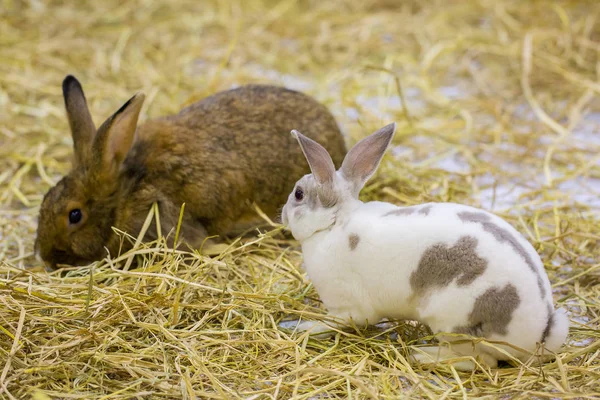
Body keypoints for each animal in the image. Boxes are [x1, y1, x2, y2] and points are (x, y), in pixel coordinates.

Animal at [282, 123, 568, 370]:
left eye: (298, 194)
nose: (282, 214)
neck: (334, 223)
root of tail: (538, 333)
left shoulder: (347, 307)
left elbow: (335, 321)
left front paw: (304, 327)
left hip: (452, 323)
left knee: (480, 361)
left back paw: (423, 355)